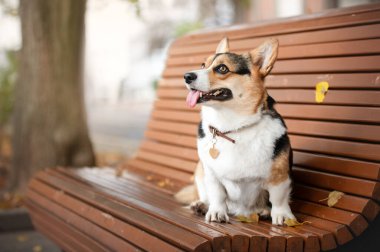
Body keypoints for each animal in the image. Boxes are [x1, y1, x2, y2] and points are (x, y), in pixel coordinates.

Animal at [176, 37, 296, 224]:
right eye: (203, 65)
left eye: (222, 68)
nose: (186, 76)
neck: (231, 128)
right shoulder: (211, 174)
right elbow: (217, 195)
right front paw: (216, 212)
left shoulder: (280, 175)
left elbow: (278, 198)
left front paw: (282, 216)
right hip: (199, 170)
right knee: (205, 195)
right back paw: (201, 205)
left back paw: (264, 211)